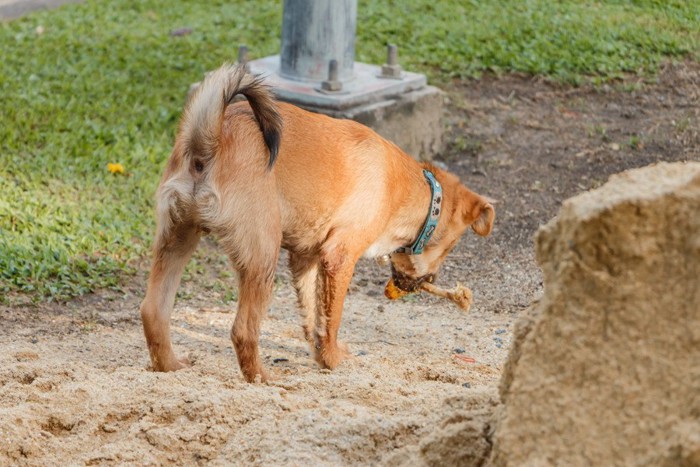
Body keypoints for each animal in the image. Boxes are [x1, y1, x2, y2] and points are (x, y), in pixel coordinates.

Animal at [141, 63, 492, 384]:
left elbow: (314, 317)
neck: (403, 185)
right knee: (243, 330)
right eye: (449, 247)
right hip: (261, 257)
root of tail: (208, 143)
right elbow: (332, 318)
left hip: (177, 240)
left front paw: (323, 356)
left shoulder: (306, 259)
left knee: (153, 312)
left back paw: (170, 366)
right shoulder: (339, 257)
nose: (432, 279)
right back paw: (262, 378)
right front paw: (334, 360)